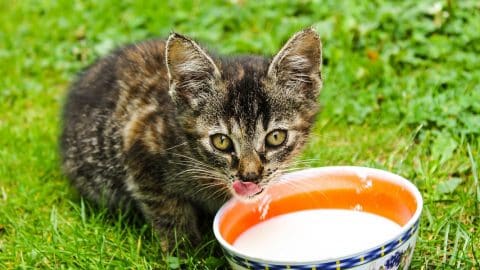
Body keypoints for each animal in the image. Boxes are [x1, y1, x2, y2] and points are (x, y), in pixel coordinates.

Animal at [60, 28, 322, 248]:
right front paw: (186, 251)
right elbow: (169, 212)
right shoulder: (140, 149)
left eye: (276, 137)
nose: (250, 177)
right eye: (221, 141)